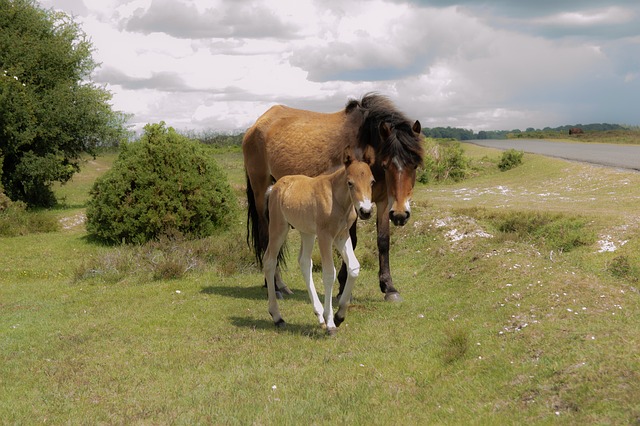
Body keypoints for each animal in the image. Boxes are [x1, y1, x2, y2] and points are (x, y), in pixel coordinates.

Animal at [243, 93, 424, 302]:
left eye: (414, 165)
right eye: (386, 164)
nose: (401, 214)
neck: (365, 143)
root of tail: (255, 126)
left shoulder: (384, 202)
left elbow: (383, 241)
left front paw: (389, 287)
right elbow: (351, 240)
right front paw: (344, 286)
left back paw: (275, 284)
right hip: (260, 192)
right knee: (267, 237)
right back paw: (275, 286)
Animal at [263, 149, 375, 334]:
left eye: (372, 182)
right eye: (350, 183)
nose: (366, 211)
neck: (337, 199)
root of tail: (275, 187)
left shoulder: (342, 235)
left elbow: (354, 267)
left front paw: (339, 316)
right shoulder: (325, 236)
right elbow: (329, 273)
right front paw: (331, 322)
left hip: (307, 232)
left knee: (304, 262)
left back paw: (318, 314)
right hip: (279, 228)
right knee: (269, 261)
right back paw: (277, 316)